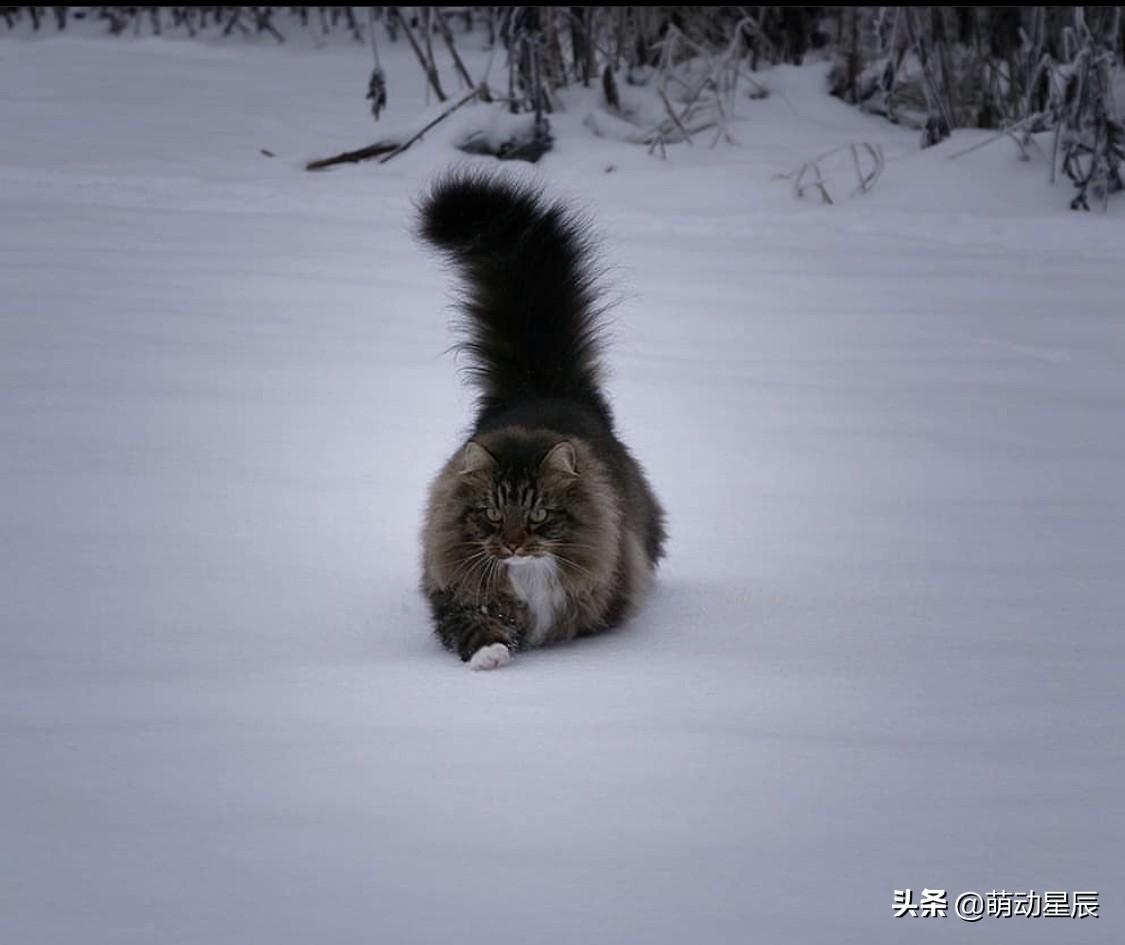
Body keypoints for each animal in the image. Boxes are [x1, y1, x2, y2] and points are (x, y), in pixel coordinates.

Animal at [418, 173, 661, 666]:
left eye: (539, 514)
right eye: (492, 513)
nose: (512, 544)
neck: (526, 573)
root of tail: (541, 388)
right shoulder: (452, 593)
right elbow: (472, 623)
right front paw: (491, 653)